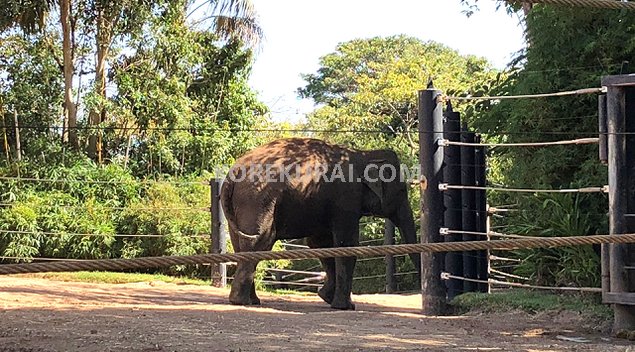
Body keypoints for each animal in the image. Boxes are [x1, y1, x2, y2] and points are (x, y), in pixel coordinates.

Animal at [220, 136, 422, 310]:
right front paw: (346, 306)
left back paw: (252, 301)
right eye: (402, 190)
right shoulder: (346, 198)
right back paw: (242, 301)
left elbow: (321, 244)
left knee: (242, 244)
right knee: (260, 241)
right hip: (258, 201)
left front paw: (325, 296)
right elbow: (346, 245)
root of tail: (232, 175)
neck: (363, 154)